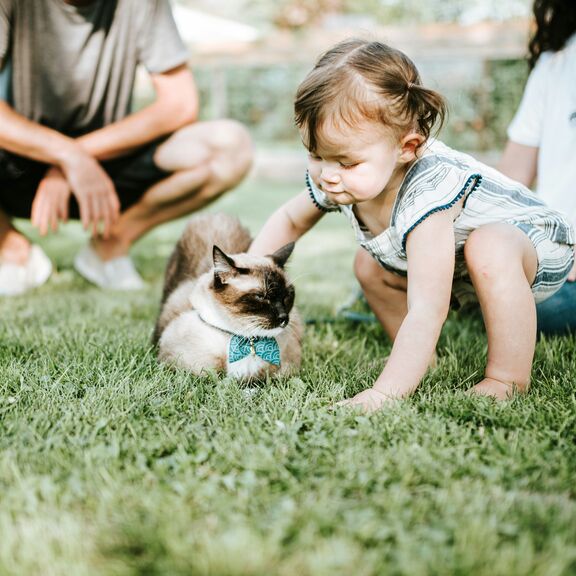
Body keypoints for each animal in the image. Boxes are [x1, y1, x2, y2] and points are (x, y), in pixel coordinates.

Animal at [153, 214, 306, 380]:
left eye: (287, 295)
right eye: (261, 297)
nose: (284, 317)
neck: (247, 341)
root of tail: (214, 215)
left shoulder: (286, 370)